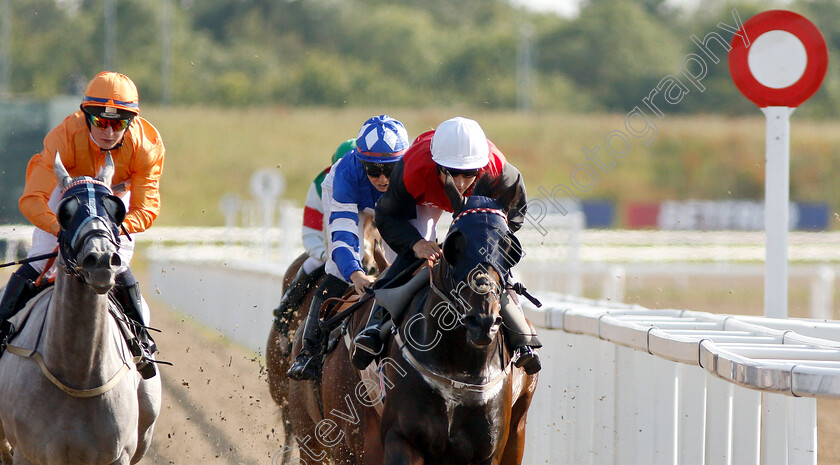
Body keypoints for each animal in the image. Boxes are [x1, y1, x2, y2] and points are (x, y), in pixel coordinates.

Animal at [0, 153, 161, 464]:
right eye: (65, 213)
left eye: (116, 211)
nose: (100, 259)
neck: (78, 376)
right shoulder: (27, 453)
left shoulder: (118, 455)